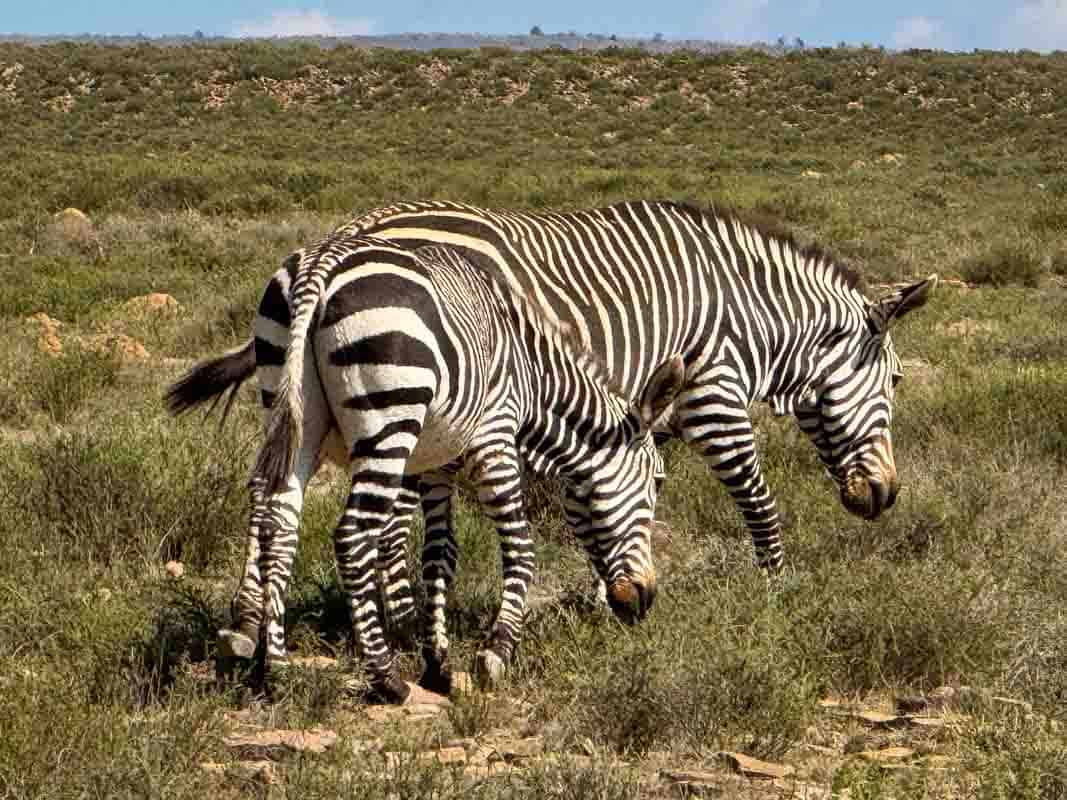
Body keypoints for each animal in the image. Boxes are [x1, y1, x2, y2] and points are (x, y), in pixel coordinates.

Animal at [166, 233, 682, 699]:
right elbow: (521, 547)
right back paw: (386, 678)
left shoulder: (435, 464)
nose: (644, 601)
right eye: (657, 482)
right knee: (352, 534)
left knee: (280, 519)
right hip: (388, 417)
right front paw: (496, 652)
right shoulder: (494, 439)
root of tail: (320, 263)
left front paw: (438, 663)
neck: (534, 378)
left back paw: (275, 670)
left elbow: (440, 554)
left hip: (291, 406)